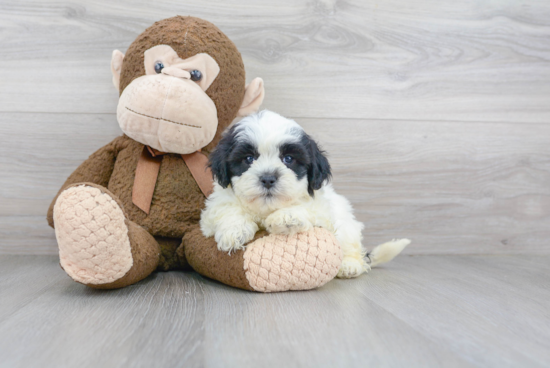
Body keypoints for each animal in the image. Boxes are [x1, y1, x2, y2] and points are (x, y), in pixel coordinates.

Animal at [202, 110, 410, 278]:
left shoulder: (322, 210)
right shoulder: (214, 207)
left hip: (347, 225)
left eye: (288, 159)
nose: (268, 178)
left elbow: (306, 208)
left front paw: (286, 217)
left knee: (352, 247)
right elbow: (227, 209)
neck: (266, 209)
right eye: (248, 158)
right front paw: (234, 231)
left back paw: (349, 265)